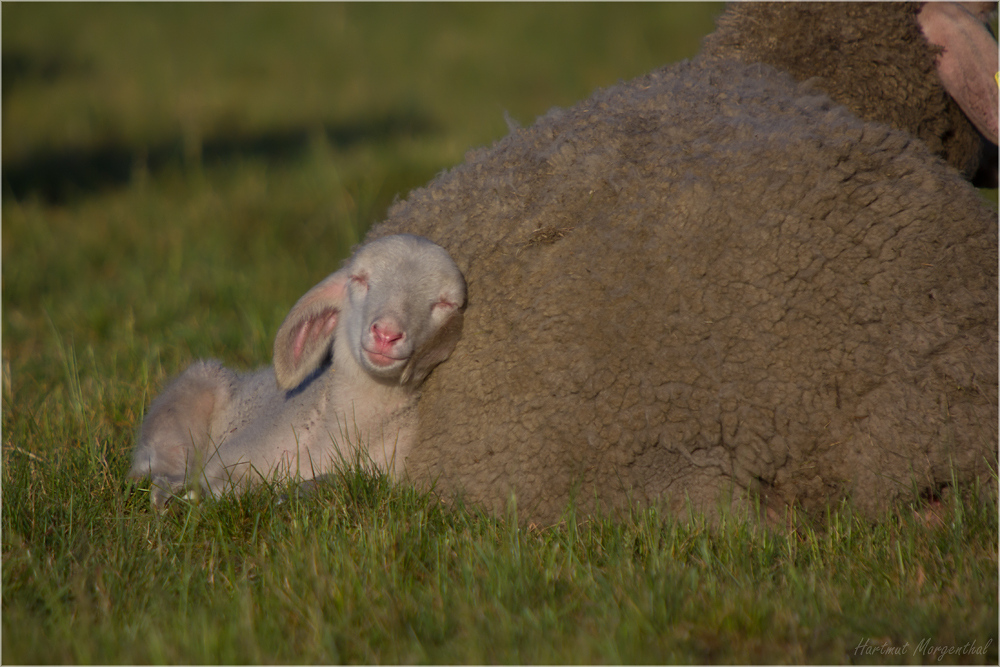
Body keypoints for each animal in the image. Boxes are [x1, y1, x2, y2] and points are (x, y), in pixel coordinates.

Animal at [128, 232, 464, 508]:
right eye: (359, 279)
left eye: (445, 304)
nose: (386, 333)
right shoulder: (232, 458)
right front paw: (188, 497)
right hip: (189, 395)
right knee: (156, 463)